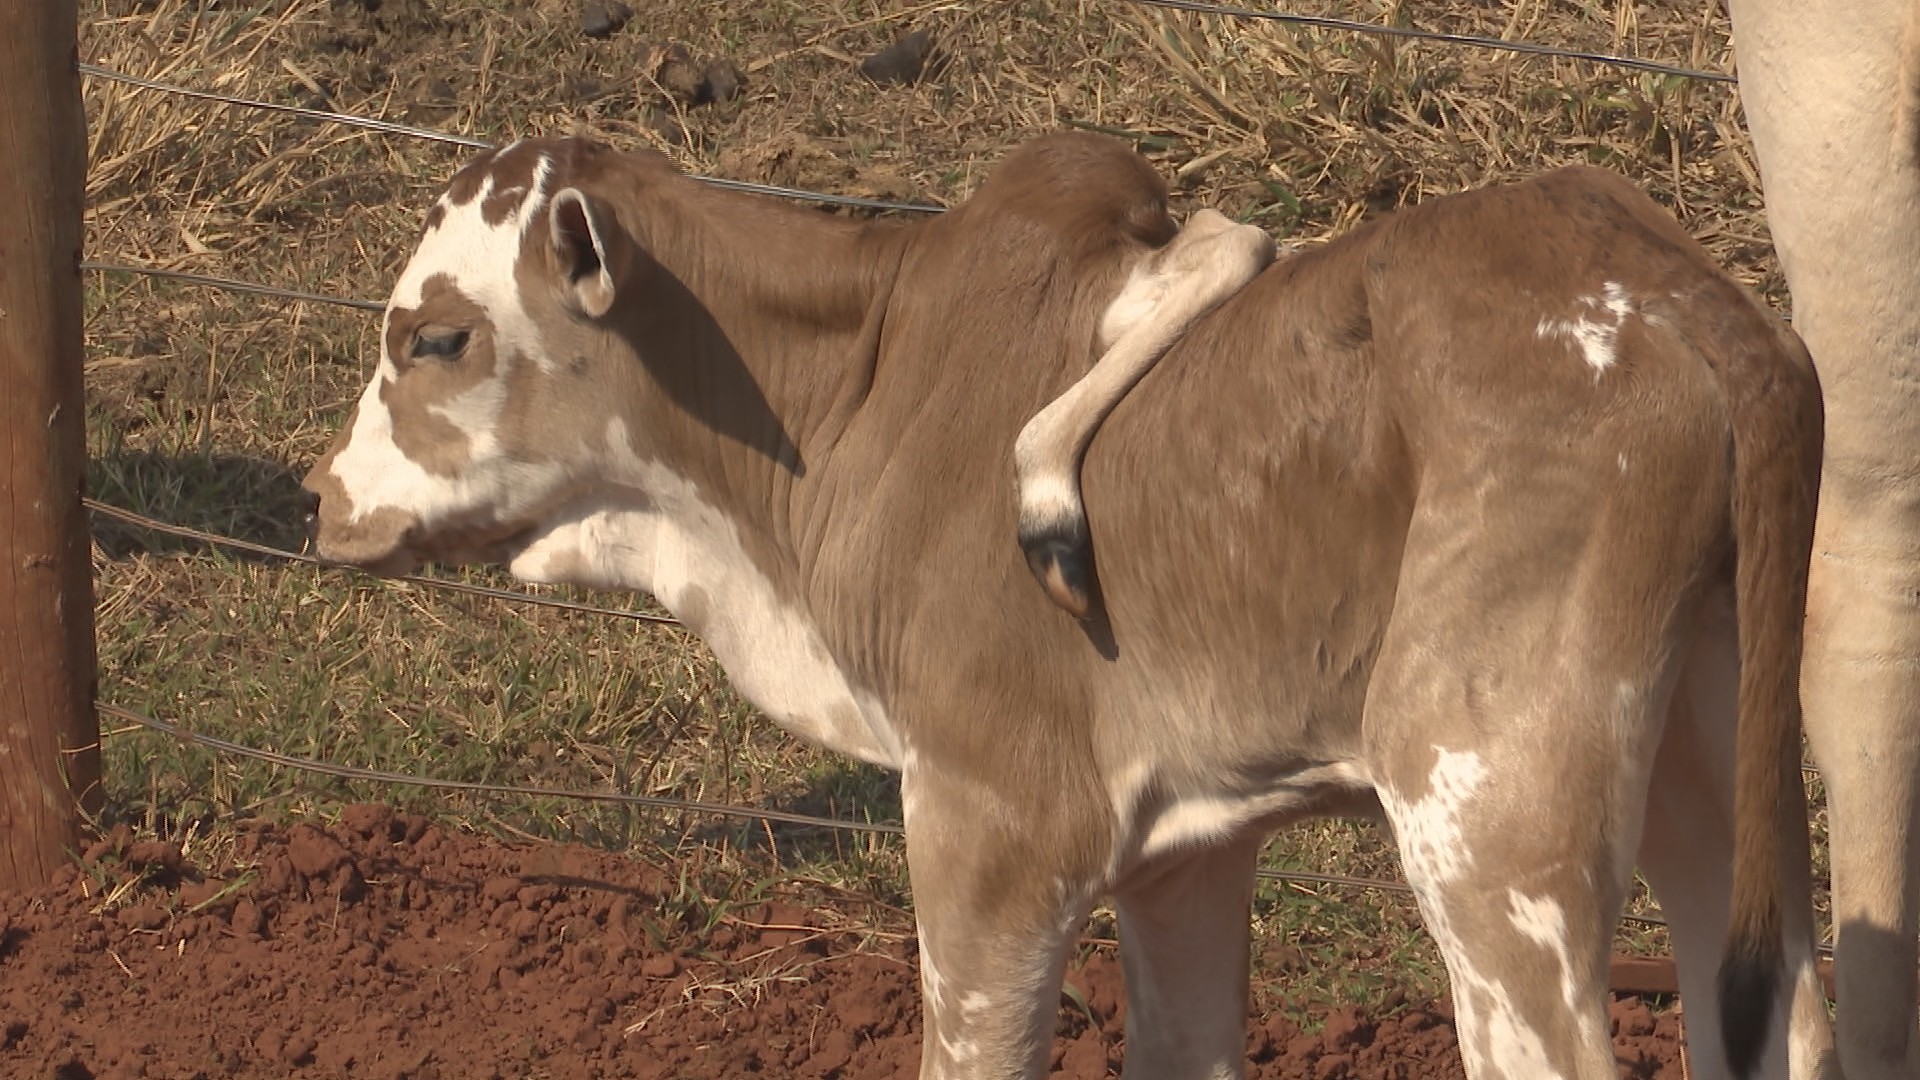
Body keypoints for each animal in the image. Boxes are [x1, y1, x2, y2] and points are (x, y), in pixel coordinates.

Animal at [307, 134, 1835, 1076]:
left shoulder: (994, 825)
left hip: (1490, 823)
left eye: (435, 337)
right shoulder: (1184, 852)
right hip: (1711, 766)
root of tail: (1680, 291)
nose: (322, 502)